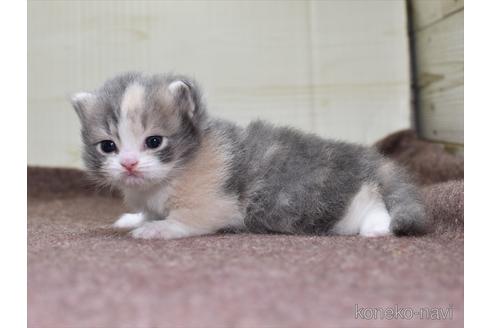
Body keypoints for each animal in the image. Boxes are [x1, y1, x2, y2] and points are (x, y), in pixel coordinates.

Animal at [71, 73, 428, 240]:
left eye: (154, 141)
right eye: (108, 146)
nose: (129, 163)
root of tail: (375, 162)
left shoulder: (214, 203)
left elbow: (186, 219)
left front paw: (156, 229)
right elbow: (148, 212)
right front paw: (135, 218)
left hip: (344, 206)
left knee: (371, 202)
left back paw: (378, 228)